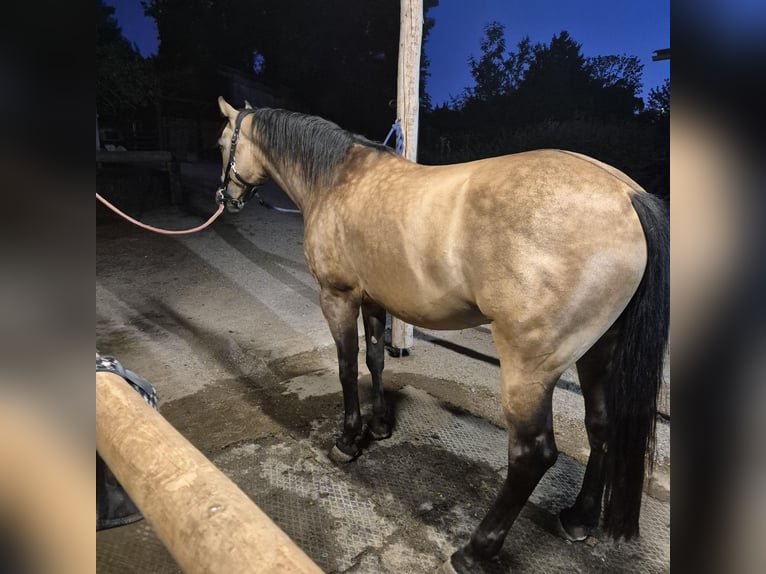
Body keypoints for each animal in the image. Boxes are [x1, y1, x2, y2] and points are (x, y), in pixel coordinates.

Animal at [215, 96, 669, 572]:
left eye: (222, 144)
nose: (224, 199)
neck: (338, 179)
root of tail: (627, 195)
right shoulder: (374, 299)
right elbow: (375, 360)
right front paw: (380, 426)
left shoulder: (337, 297)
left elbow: (346, 367)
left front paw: (348, 440)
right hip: (599, 352)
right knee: (600, 426)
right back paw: (579, 518)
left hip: (529, 369)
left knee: (533, 455)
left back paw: (475, 550)